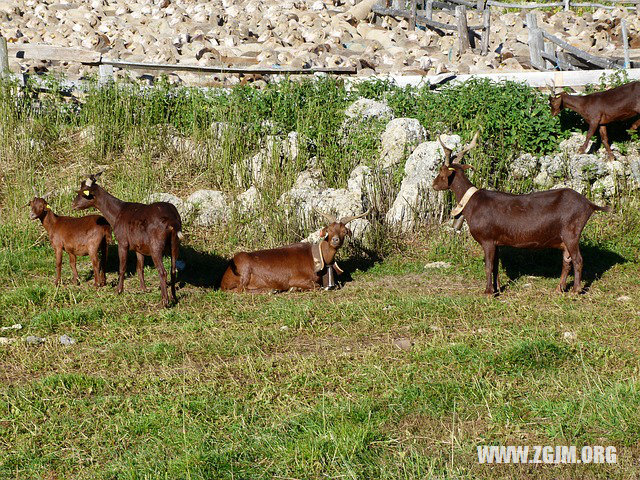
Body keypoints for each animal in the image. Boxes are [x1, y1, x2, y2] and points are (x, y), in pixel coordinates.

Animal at [220, 210, 370, 292]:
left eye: (344, 231)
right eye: (329, 230)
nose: (335, 240)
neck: (316, 257)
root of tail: (223, 280)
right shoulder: (296, 278)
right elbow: (315, 286)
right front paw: (295, 288)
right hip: (243, 268)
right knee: (240, 290)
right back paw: (270, 290)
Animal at [430, 133, 608, 294]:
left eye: (441, 170)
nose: (433, 184)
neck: (472, 203)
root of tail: (589, 204)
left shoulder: (487, 239)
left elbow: (488, 266)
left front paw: (488, 292)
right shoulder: (496, 241)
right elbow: (495, 266)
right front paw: (497, 289)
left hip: (572, 232)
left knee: (578, 260)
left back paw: (576, 290)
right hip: (564, 237)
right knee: (567, 260)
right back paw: (559, 289)